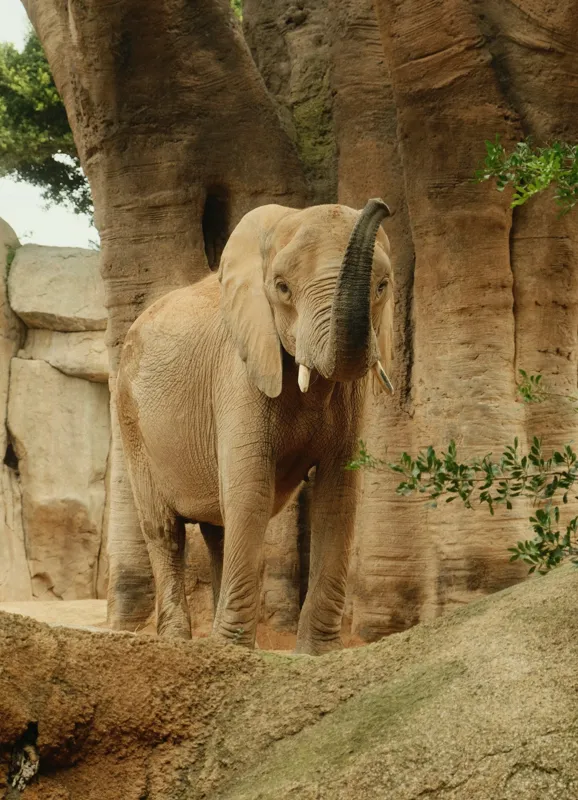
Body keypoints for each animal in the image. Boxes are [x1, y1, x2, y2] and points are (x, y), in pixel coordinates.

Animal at [116, 198, 394, 656]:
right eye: (282, 288)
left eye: (383, 287)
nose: (380, 205)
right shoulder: (238, 371)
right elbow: (252, 490)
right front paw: (232, 650)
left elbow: (338, 495)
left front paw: (317, 654)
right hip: (129, 418)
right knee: (164, 530)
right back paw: (178, 642)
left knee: (218, 529)